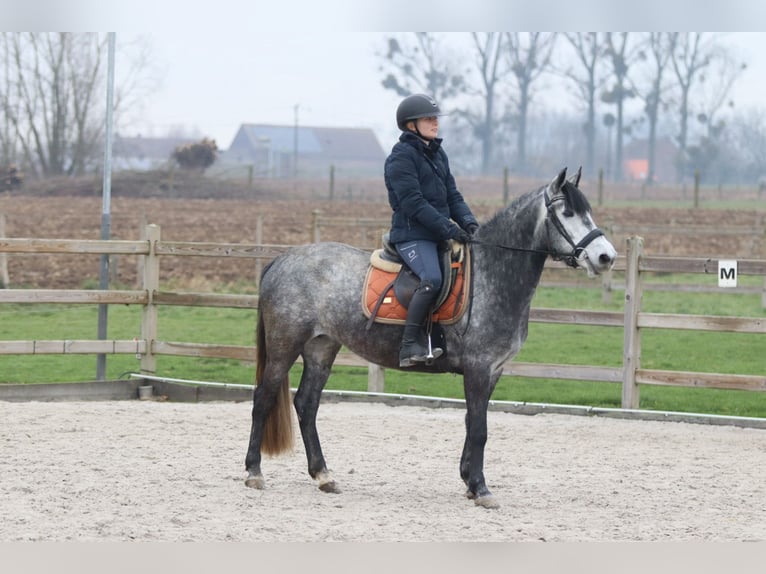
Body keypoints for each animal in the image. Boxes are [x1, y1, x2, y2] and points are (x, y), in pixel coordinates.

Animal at [244, 167, 617, 509]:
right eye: (568, 213)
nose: (606, 257)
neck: (492, 275)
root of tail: (282, 259)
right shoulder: (479, 368)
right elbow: (479, 429)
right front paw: (481, 489)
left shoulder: (492, 371)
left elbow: (472, 422)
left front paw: (469, 481)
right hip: (284, 346)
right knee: (263, 398)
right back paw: (254, 472)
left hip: (321, 347)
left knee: (307, 405)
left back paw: (323, 475)